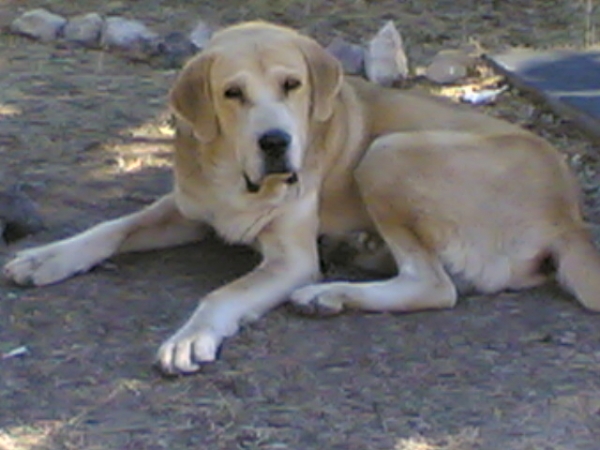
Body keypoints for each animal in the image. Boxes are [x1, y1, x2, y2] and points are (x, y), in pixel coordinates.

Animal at [4, 21, 600, 374]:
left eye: (292, 85)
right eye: (232, 93)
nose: (274, 142)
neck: (231, 174)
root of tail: (570, 216)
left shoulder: (290, 259)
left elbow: (221, 295)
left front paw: (192, 337)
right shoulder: (188, 208)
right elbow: (112, 229)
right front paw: (45, 258)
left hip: (387, 152)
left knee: (435, 286)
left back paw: (328, 293)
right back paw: (358, 252)